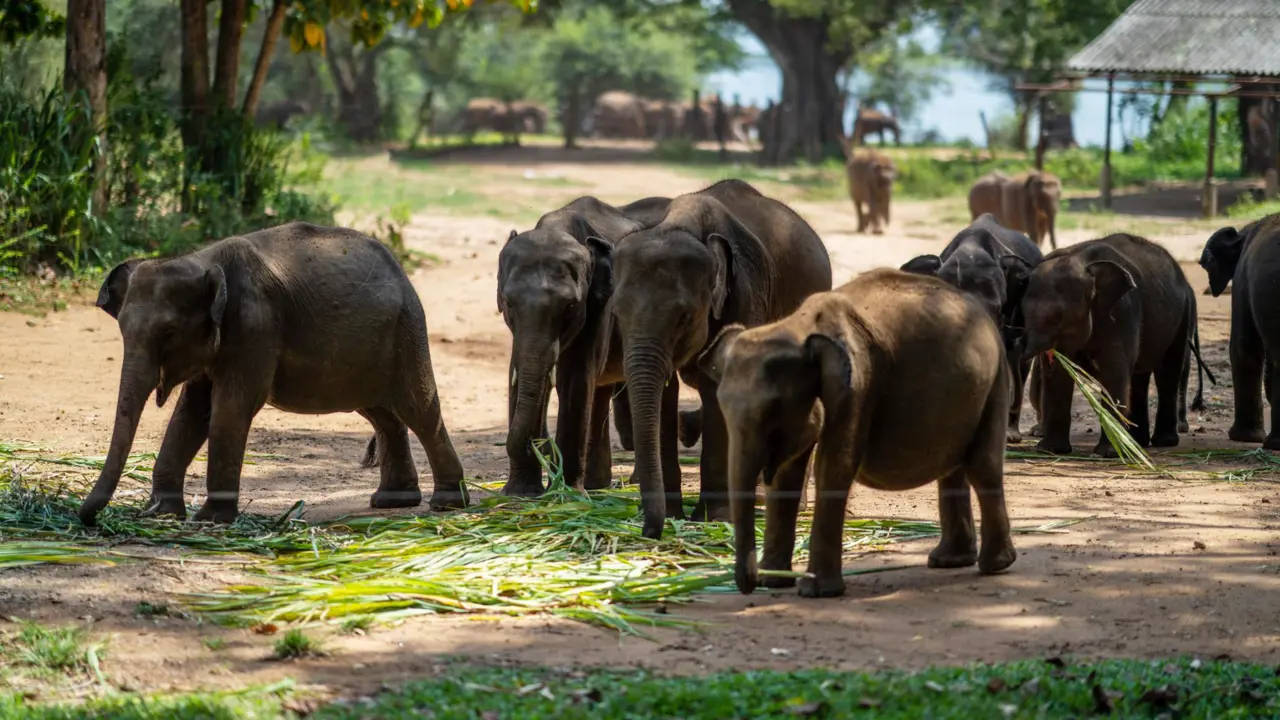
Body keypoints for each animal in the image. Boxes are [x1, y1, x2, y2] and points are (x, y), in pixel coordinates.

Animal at [80, 222, 465, 526]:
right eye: (122, 330)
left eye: (169, 333)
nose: (87, 518)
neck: (201, 259)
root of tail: (399, 268)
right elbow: (192, 411)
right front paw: (161, 513)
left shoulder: (255, 326)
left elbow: (230, 408)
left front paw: (211, 521)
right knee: (381, 413)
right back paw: (392, 501)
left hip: (407, 330)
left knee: (418, 409)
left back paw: (447, 504)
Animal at [607, 179, 833, 539]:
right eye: (616, 314)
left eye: (683, 317)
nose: (648, 530)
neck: (680, 223)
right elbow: (665, 398)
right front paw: (673, 514)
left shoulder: (744, 296)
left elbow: (717, 390)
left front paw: (713, 519)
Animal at [701, 268, 1016, 598]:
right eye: (722, 405)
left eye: (774, 409)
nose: (749, 584)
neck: (797, 326)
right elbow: (788, 474)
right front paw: (773, 581)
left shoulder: (859, 383)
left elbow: (834, 466)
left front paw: (816, 591)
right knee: (953, 467)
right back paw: (949, 561)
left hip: (996, 381)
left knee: (982, 466)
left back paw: (994, 565)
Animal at [1021, 233, 1197, 457]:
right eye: (1021, 310)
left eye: (1059, 316)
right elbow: (1059, 373)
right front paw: (1051, 450)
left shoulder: (1121, 312)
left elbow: (1114, 370)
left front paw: (1107, 453)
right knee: (1138, 377)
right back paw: (1137, 441)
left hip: (1183, 315)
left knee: (1168, 371)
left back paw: (1163, 441)